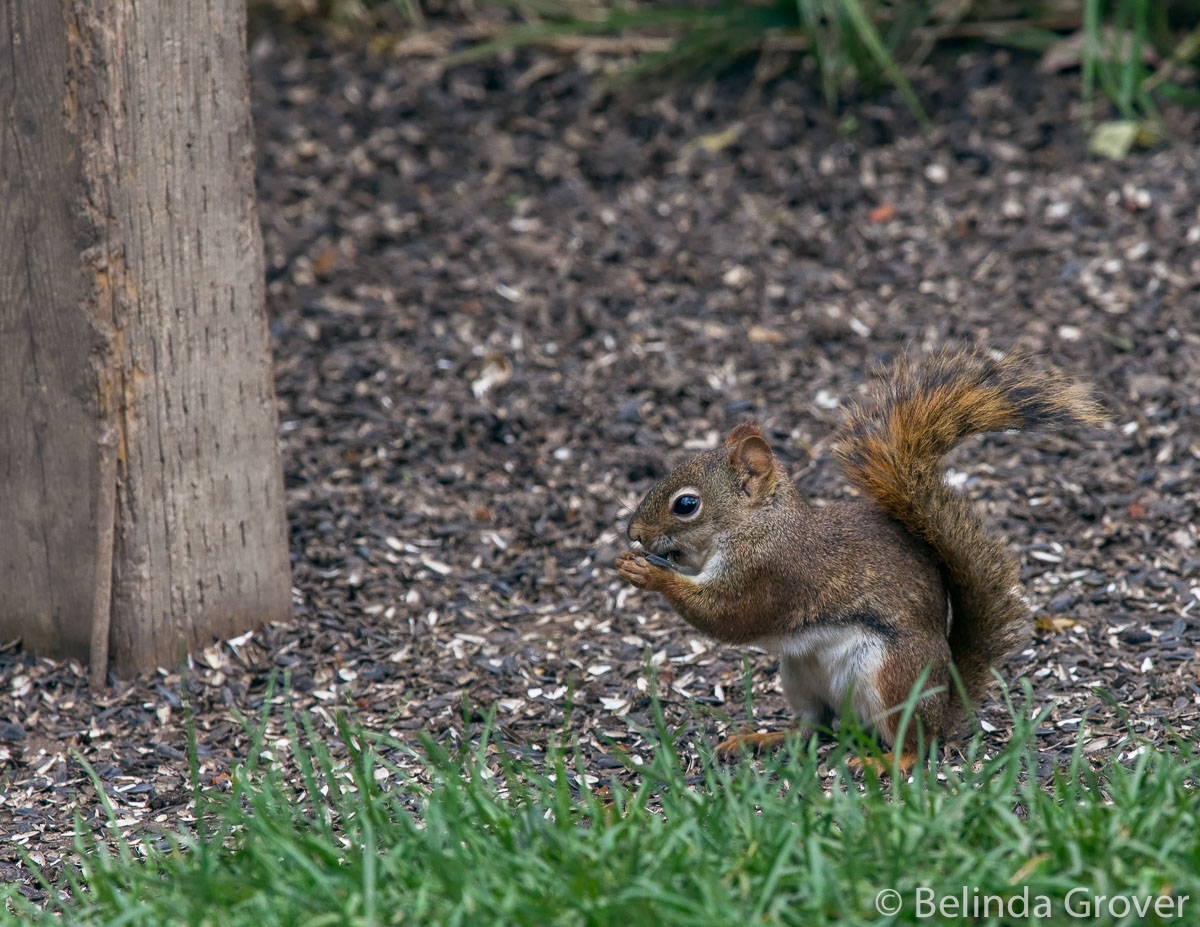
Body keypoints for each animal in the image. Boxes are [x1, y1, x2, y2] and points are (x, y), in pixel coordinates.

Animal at [615, 347, 1103, 767]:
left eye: (686, 504)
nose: (633, 533)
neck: (757, 525)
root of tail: (945, 704)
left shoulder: (769, 573)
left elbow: (727, 615)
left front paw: (651, 576)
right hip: (798, 674)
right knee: (813, 727)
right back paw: (761, 738)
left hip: (890, 677)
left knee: (912, 744)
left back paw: (884, 761)